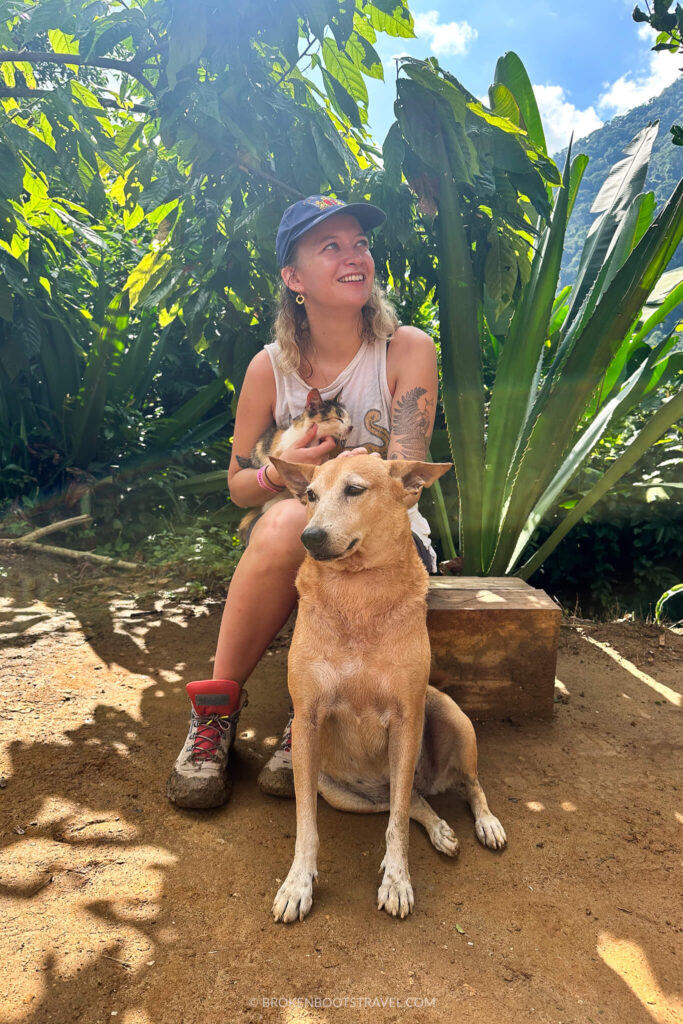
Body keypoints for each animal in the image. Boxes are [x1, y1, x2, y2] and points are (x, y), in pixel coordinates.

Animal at [270, 452, 505, 925]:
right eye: (310, 495)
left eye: (354, 490)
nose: (309, 536)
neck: (359, 591)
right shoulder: (306, 718)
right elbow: (307, 824)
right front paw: (298, 883)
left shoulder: (407, 716)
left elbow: (396, 826)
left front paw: (397, 881)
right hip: (341, 792)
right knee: (414, 800)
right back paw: (441, 829)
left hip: (451, 717)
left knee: (463, 785)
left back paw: (485, 823)